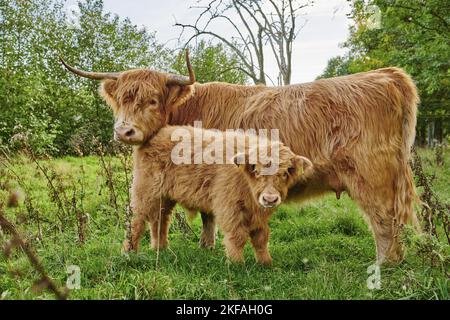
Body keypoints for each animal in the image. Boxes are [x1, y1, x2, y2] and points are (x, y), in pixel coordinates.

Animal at [61, 51, 420, 264]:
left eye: (152, 100)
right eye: (122, 99)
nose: (125, 132)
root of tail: (387, 76)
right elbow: (195, 214)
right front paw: (200, 246)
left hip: (371, 177)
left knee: (384, 222)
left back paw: (383, 265)